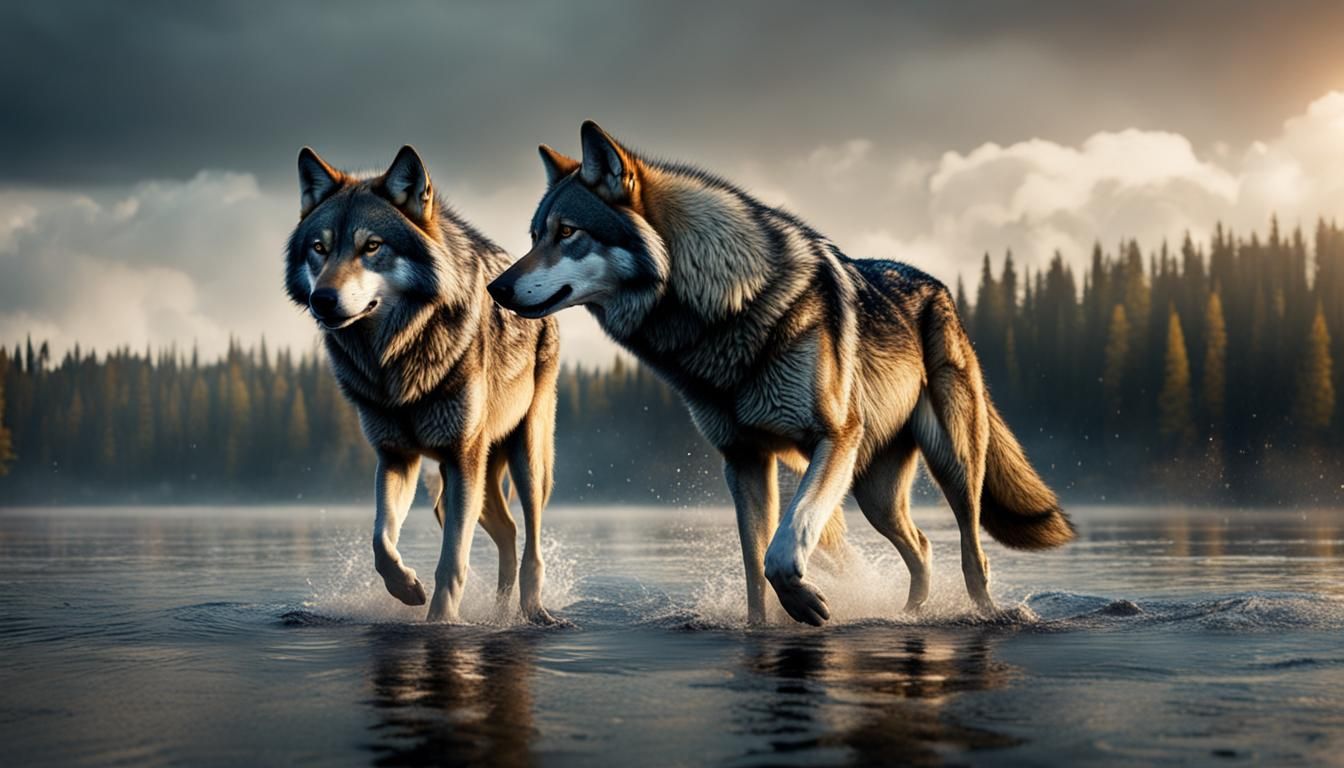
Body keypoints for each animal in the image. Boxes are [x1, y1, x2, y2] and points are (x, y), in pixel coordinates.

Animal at [285, 145, 560, 623]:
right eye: (319, 248)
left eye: (371, 246)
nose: (323, 300)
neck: (395, 361)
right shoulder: (396, 456)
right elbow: (381, 541)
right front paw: (407, 590)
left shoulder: (461, 457)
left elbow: (453, 561)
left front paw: (442, 623)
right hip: (462, 485)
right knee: (507, 532)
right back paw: (499, 614)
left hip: (525, 462)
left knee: (531, 542)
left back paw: (533, 612)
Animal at [488, 122, 1074, 625]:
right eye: (535, 235)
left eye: (568, 232)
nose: (497, 288)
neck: (722, 314)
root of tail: (941, 289)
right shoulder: (745, 460)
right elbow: (754, 568)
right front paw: (763, 627)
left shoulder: (834, 438)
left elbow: (785, 545)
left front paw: (804, 600)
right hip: (874, 493)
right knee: (923, 548)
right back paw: (908, 617)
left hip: (949, 466)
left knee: (973, 554)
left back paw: (988, 615)